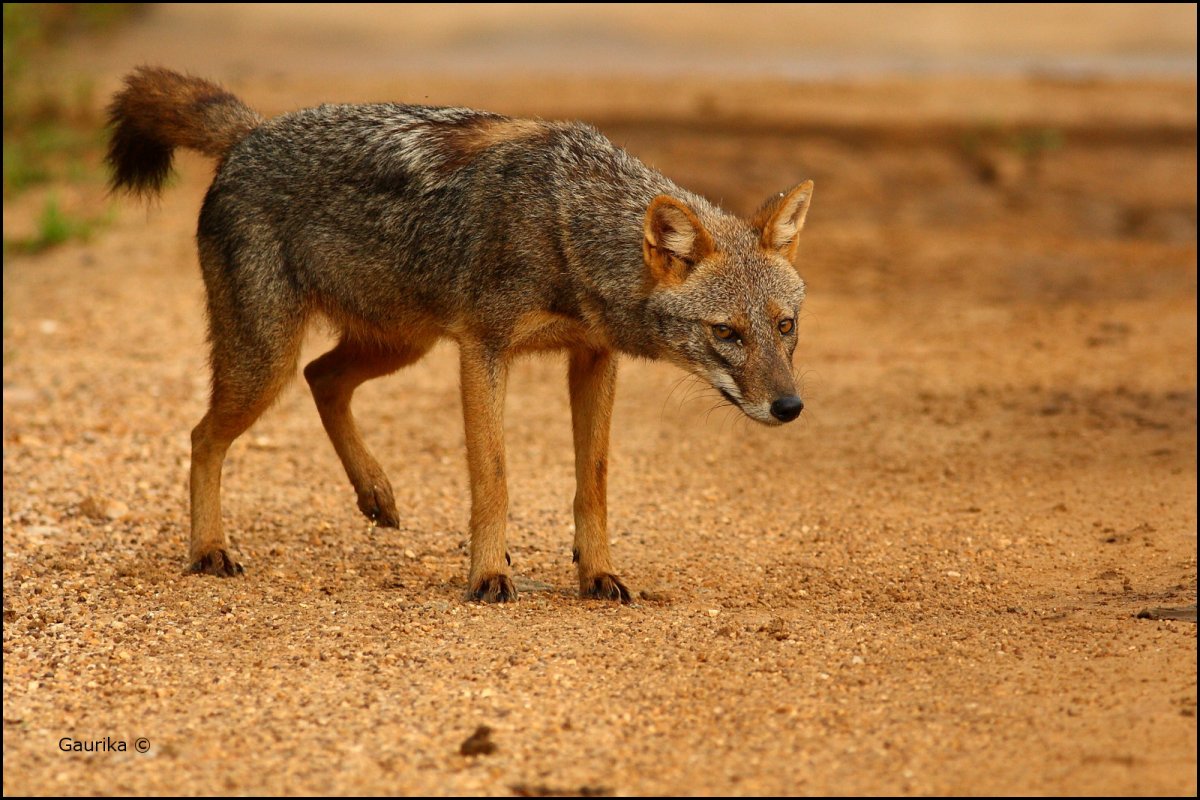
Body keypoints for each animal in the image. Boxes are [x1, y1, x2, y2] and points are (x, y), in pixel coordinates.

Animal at [105, 67, 812, 603]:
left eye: (785, 327)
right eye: (726, 332)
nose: (790, 407)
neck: (567, 227)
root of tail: (251, 131)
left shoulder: (592, 358)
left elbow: (594, 482)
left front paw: (599, 573)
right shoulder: (484, 349)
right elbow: (493, 477)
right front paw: (490, 574)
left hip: (397, 344)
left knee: (322, 378)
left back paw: (375, 492)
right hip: (270, 361)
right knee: (204, 436)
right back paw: (210, 549)